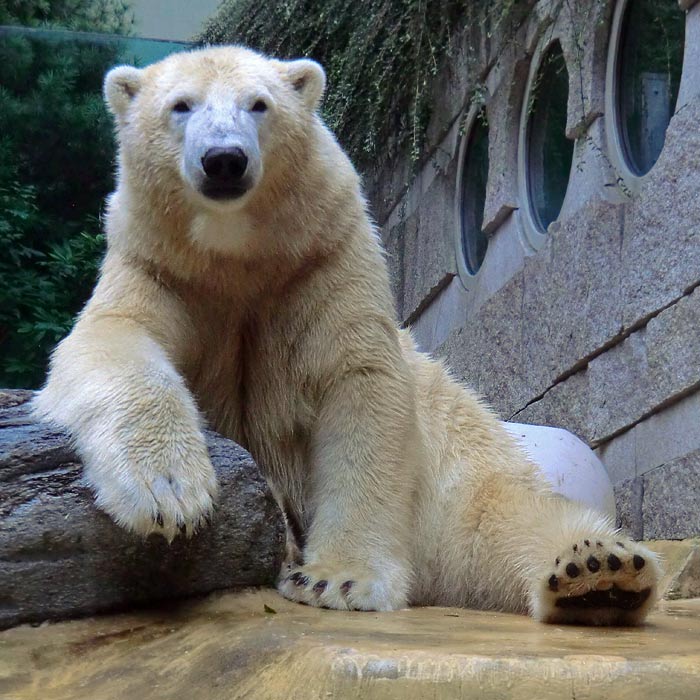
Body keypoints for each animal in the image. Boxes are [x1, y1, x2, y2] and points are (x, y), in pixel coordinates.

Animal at [34, 45, 660, 624]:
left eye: (259, 104)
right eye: (180, 105)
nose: (224, 160)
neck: (237, 259)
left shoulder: (323, 262)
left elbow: (359, 388)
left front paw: (336, 579)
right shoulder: (162, 269)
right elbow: (113, 337)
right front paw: (168, 494)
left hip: (460, 476)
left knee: (510, 519)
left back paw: (598, 569)